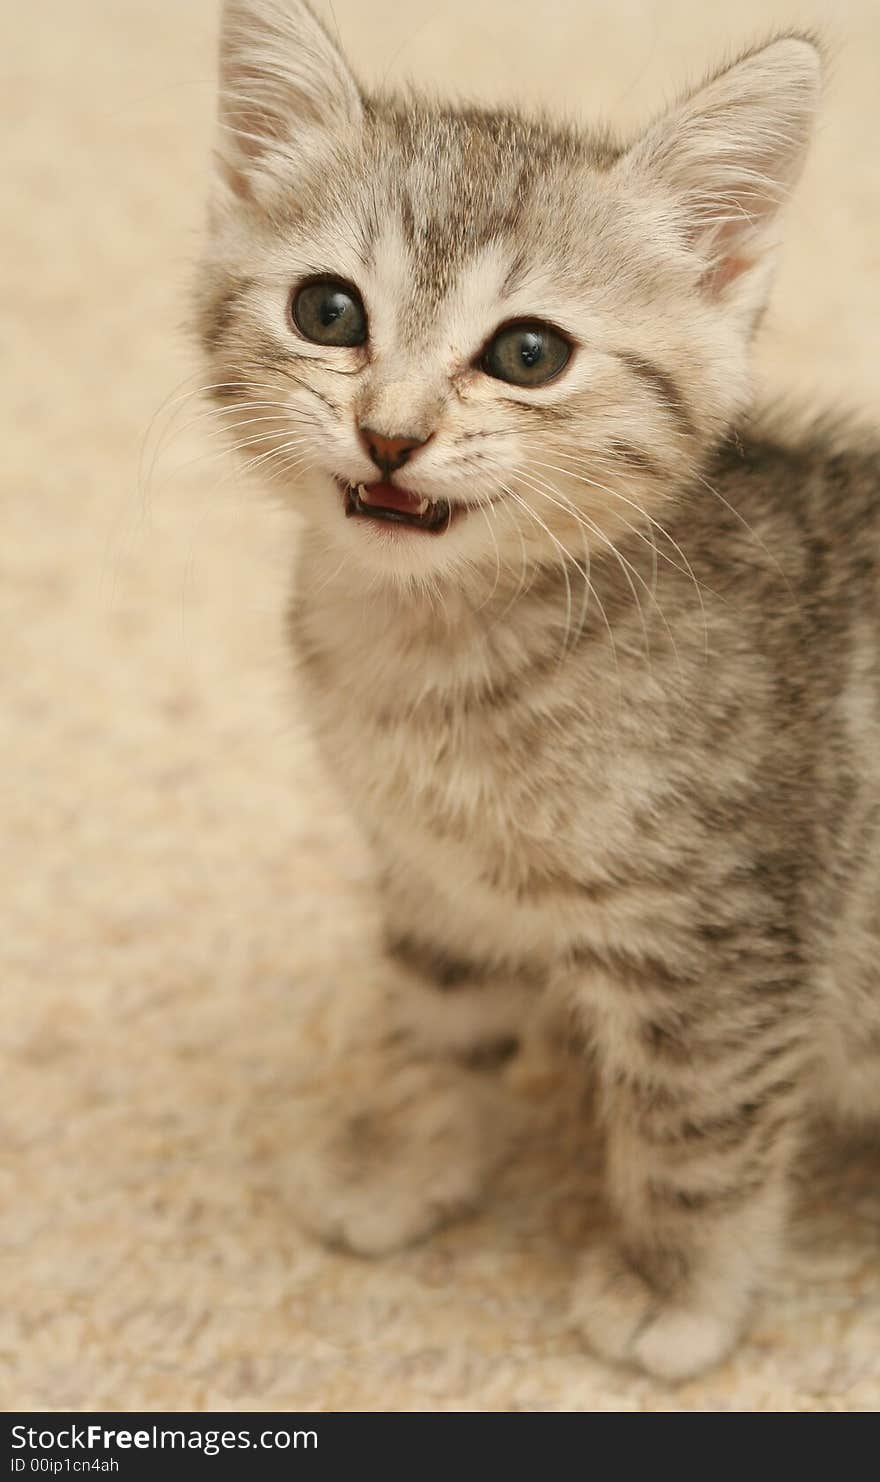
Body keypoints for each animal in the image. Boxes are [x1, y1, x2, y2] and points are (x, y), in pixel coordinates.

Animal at [194, 0, 877, 1381]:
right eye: (328, 311)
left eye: (527, 352)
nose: (391, 434)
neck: (433, 656)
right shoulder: (436, 884)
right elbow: (436, 1028)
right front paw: (403, 1164)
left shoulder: (723, 945)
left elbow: (695, 1131)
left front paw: (672, 1290)